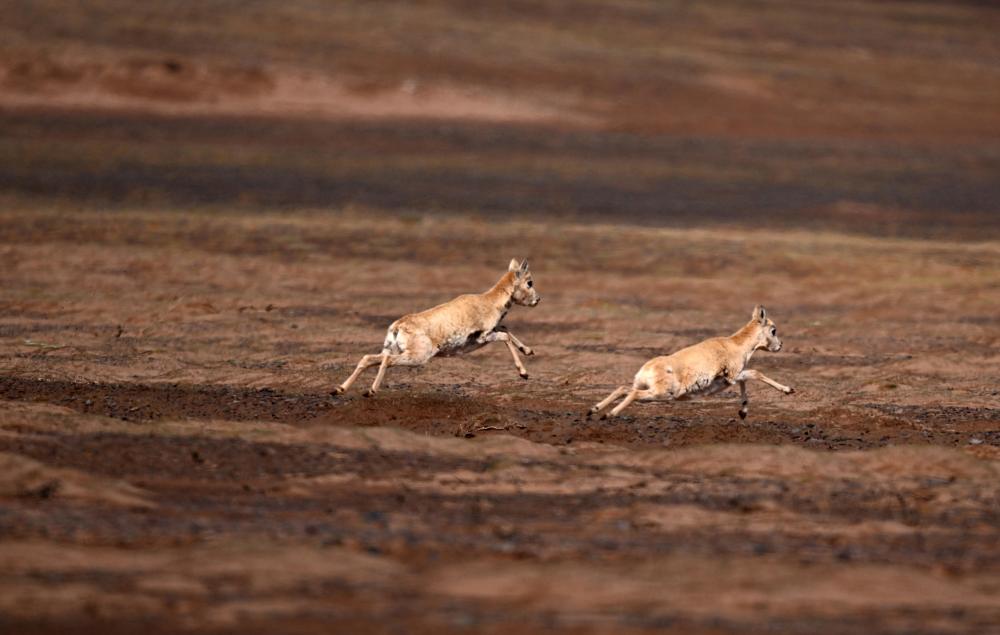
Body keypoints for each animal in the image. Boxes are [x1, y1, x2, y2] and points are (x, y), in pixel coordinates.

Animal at [334, 258, 540, 398]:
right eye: (529, 282)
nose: (538, 300)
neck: (488, 301)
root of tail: (397, 326)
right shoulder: (484, 336)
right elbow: (505, 336)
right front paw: (524, 373)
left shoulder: (493, 330)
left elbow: (505, 328)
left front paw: (528, 351)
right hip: (417, 357)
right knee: (387, 360)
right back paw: (371, 390)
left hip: (395, 351)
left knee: (368, 358)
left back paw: (339, 389)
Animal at [588, 308, 792, 422]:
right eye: (773, 330)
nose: (780, 345)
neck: (735, 344)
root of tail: (647, 369)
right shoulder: (733, 375)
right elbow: (756, 373)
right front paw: (789, 390)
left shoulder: (732, 378)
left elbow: (747, 380)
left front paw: (742, 413)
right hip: (662, 394)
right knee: (633, 394)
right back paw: (608, 415)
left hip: (645, 387)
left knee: (623, 389)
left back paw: (594, 410)